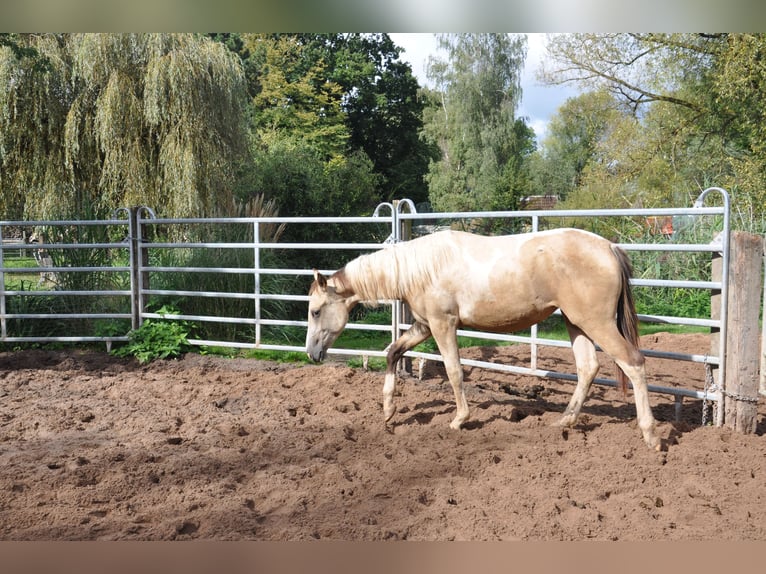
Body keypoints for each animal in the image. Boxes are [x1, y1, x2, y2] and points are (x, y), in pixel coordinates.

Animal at [306, 228, 660, 450]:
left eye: (315, 310)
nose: (311, 353)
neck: (421, 268)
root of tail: (609, 248)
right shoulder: (424, 326)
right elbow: (393, 351)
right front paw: (389, 410)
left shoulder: (443, 325)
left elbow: (454, 371)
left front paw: (460, 419)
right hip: (577, 323)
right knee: (588, 368)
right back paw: (565, 421)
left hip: (596, 324)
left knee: (633, 363)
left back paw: (651, 435)